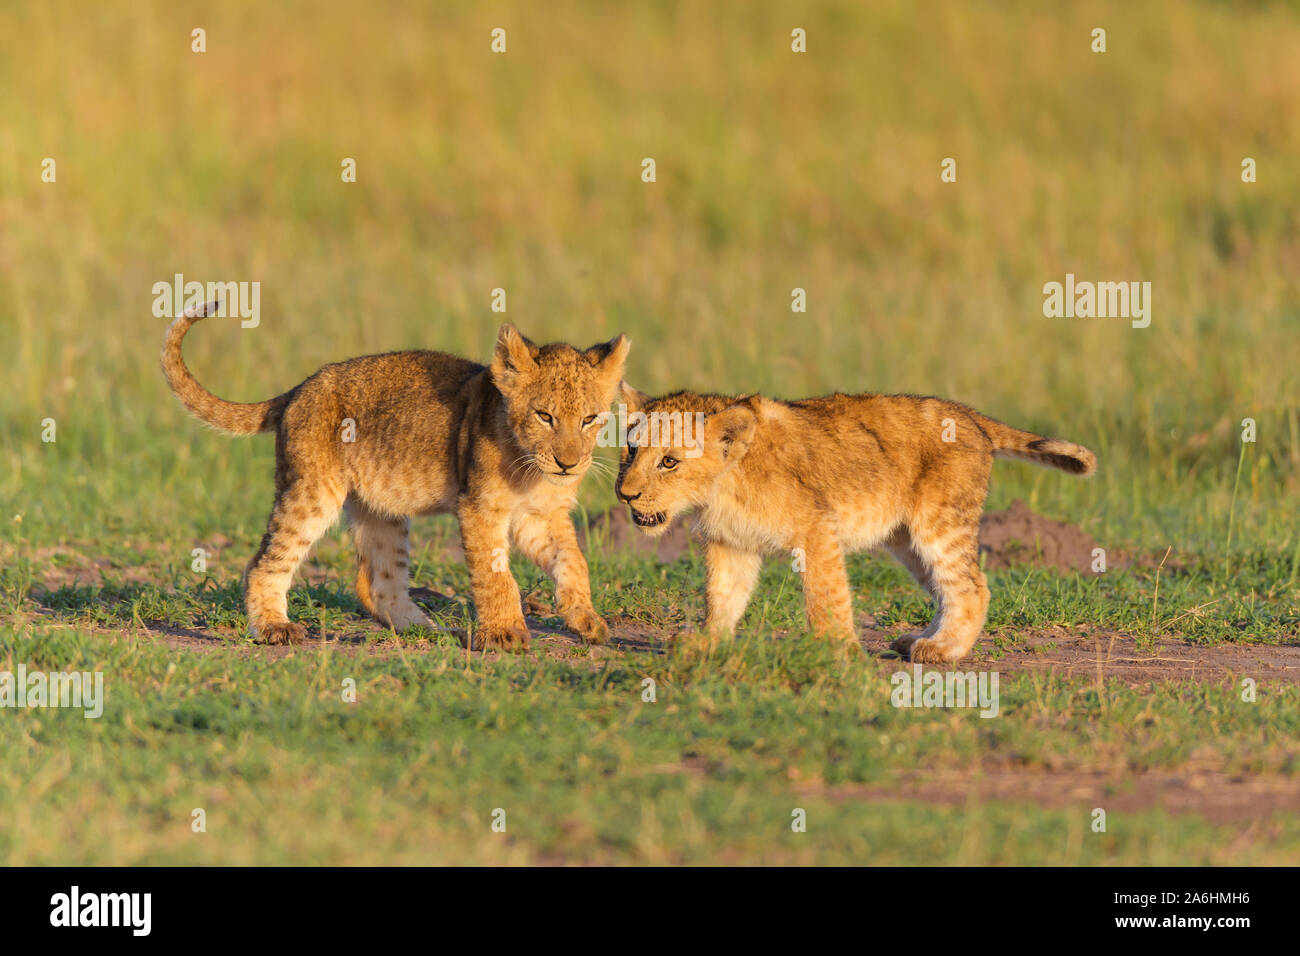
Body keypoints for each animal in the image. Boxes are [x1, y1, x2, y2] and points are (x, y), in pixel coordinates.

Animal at [162, 300, 628, 649]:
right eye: (545, 416)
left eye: (589, 419)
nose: (569, 463)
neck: (533, 472)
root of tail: (299, 389)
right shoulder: (479, 507)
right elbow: (496, 574)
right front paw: (505, 634)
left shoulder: (542, 516)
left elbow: (573, 560)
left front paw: (586, 620)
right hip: (313, 493)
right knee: (263, 562)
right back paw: (274, 628)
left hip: (380, 508)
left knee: (377, 585)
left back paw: (432, 631)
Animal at [614, 386, 1095, 662]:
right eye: (631, 450)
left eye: (669, 462)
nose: (625, 494)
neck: (721, 486)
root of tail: (970, 415)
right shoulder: (731, 543)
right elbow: (723, 597)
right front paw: (709, 642)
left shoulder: (816, 527)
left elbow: (825, 596)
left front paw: (834, 651)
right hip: (906, 540)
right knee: (946, 588)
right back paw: (919, 640)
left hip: (939, 523)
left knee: (972, 586)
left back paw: (941, 651)